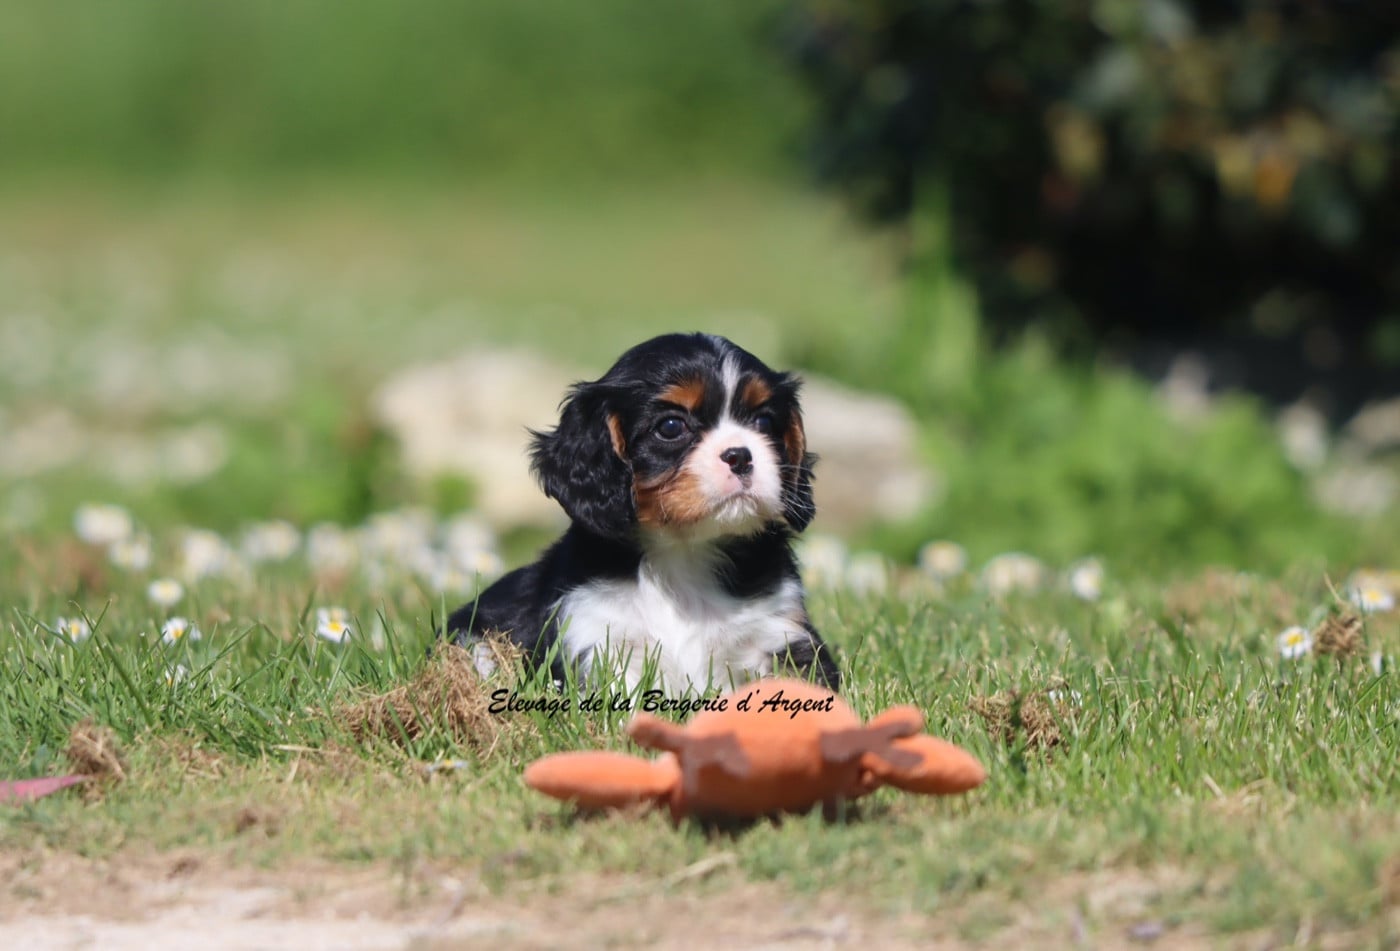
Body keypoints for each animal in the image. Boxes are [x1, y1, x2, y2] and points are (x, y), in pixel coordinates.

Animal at [447, 332, 840, 695]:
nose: (741, 455)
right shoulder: (596, 638)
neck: (685, 552)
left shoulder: (779, 631)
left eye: (763, 422)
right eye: (670, 427)